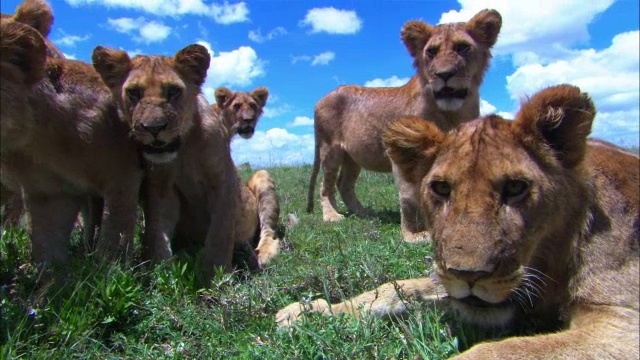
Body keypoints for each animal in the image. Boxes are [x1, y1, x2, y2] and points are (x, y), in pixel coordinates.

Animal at [0, 20, 142, 268]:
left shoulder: (123, 175)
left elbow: (116, 229)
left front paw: (109, 267)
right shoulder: (50, 190)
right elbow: (46, 242)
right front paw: (51, 274)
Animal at [276, 83, 640, 358]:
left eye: (516, 188)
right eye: (441, 188)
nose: (468, 276)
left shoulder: (622, 325)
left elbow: (494, 351)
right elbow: (391, 290)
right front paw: (308, 311)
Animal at [308, 9, 502, 245]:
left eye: (462, 47)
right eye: (432, 52)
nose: (444, 74)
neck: (451, 113)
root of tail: (320, 98)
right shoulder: (400, 151)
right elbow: (409, 194)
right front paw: (414, 234)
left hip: (353, 156)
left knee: (344, 184)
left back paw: (364, 212)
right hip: (330, 149)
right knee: (326, 185)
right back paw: (332, 216)